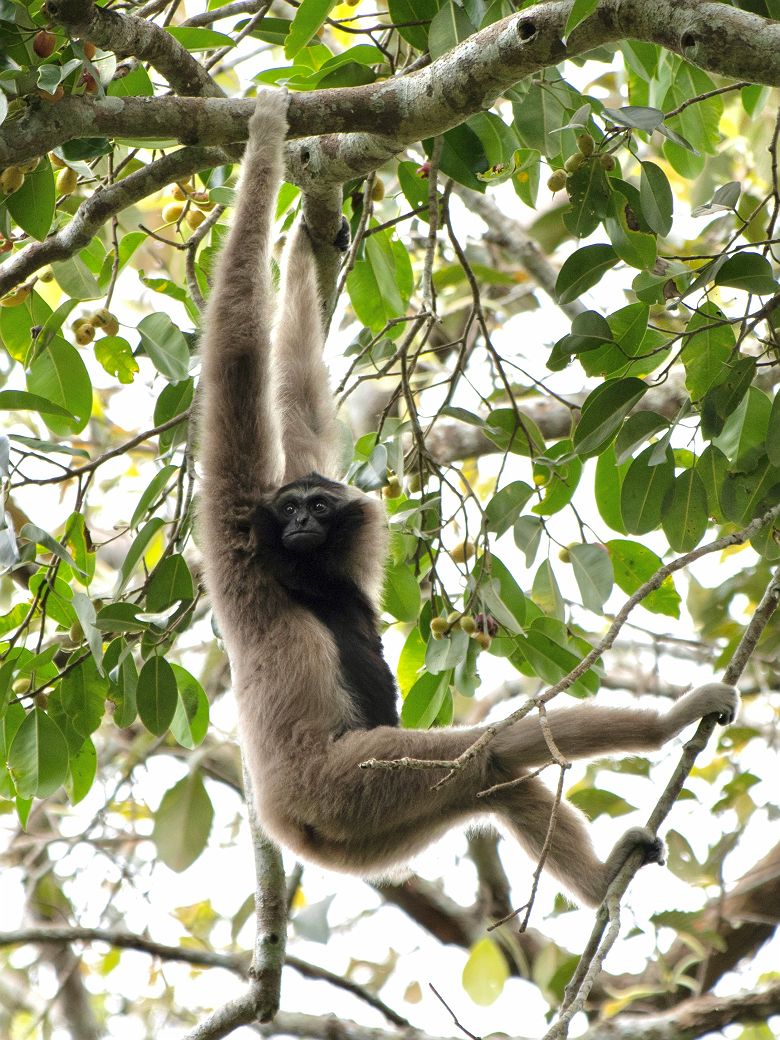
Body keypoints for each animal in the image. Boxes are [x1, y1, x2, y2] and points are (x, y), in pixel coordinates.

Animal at [197, 89, 740, 908]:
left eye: (316, 509)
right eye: (289, 511)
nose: (295, 524)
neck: (311, 578)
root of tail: (292, 826)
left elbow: (300, 399)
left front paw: (308, 231)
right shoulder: (241, 533)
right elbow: (235, 354)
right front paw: (265, 134)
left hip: (375, 832)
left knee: (492, 781)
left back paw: (598, 882)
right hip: (350, 787)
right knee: (484, 752)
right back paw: (665, 731)